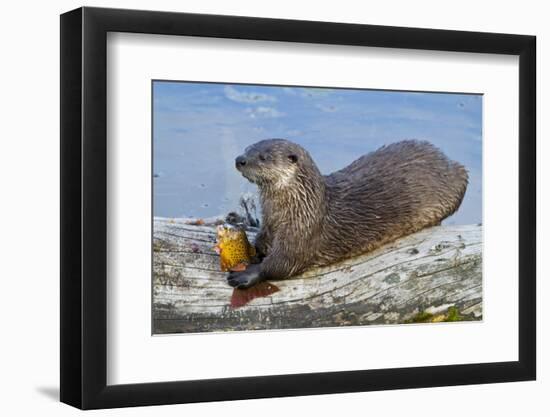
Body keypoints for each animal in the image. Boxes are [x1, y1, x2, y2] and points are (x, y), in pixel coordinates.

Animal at [229, 138, 470, 288]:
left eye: (263, 157)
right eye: (248, 149)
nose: (239, 159)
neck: (298, 206)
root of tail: (447, 159)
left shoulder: (303, 232)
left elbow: (283, 263)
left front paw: (247, 274)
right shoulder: (269, 223)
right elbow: (261, 243)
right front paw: (251, 251)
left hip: (458, 181)